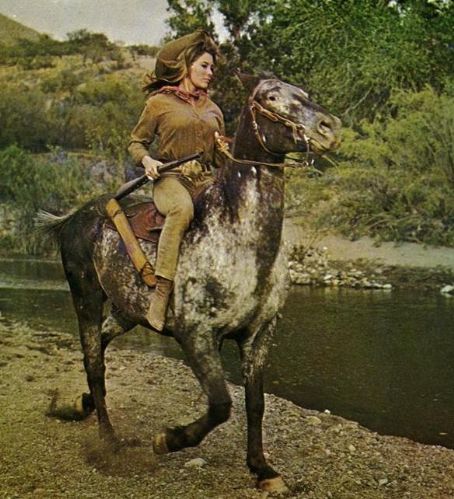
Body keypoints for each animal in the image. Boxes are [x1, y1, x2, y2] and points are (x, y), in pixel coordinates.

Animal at [42, 73, 341, 493]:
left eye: (304, 94)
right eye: (270, 96)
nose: (329, 128)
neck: (238, 239)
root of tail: (72, 217)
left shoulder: (258, 335)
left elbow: (255, 403)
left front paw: (263, 469)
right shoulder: (196, 335)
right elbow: (220, 404)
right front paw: (168, 440)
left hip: (126, 311)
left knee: (99, 345)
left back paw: (82, 405)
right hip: (85, 297)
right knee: (94, 362)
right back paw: (108, 439)